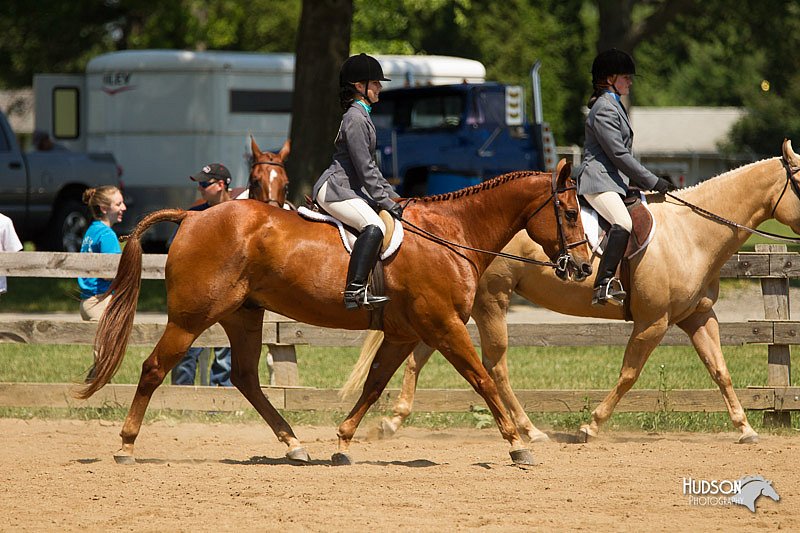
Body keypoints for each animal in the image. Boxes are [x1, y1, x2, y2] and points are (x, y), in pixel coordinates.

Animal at [79, 160, 592, 464]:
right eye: (569, 213)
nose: (585, 266)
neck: (451, 235)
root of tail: (193, 215)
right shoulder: (444, 326)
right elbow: (482, 378)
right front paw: (517, 444)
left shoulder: (405, 333)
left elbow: (375, 384)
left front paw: (344, 441)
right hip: (191, 319)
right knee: (154, 368)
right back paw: (126, 445)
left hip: (243, 314)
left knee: (245, 377)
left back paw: (294, 444)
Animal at [350, 138, 800, 444]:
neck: (692, 233)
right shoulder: (654, 322)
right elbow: (629, 374)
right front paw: (590, 425)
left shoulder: (697, 317)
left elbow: (720, 370)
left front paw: (745, 428)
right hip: (489, 303)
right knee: (494, 366)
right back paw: (528, 430)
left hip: (449, 310)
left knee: (421, 356)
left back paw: (393, 420)